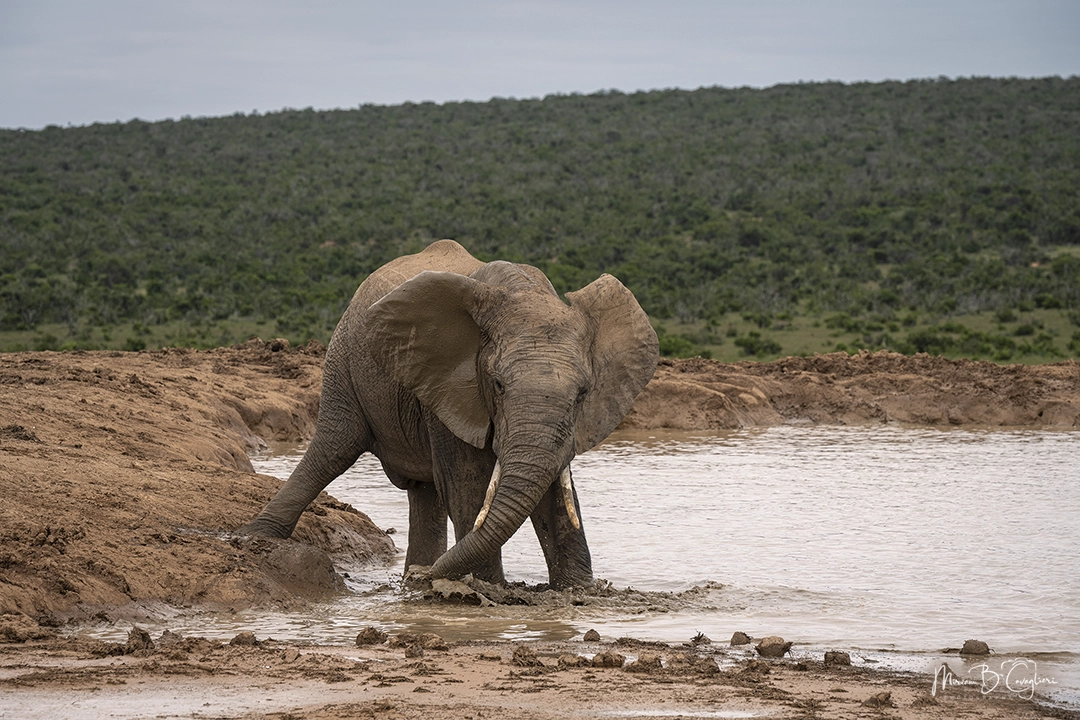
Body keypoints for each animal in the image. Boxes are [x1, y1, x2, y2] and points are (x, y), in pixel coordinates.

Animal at [239, 239, 658, 589]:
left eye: (583, 393)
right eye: (498, 384)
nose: (426, 578)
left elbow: (553, 489)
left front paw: (578, 591)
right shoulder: (448, 383)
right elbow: (467, 482)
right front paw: (491, 589)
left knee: (423, 491)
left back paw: (411, 577)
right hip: (344, 359)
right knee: (333, 449)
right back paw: (254, 539)